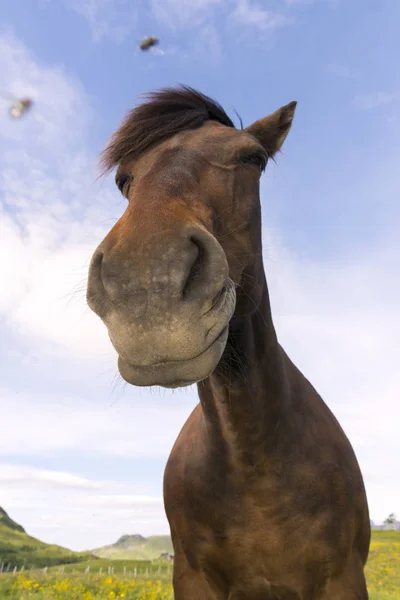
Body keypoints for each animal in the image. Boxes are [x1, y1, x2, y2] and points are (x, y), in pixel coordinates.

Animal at [86, 85, 368, 600]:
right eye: (122, 180)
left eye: (252, 158)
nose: (148, 283)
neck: (251, 460)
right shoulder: (193, 579)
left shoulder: (342, 579)